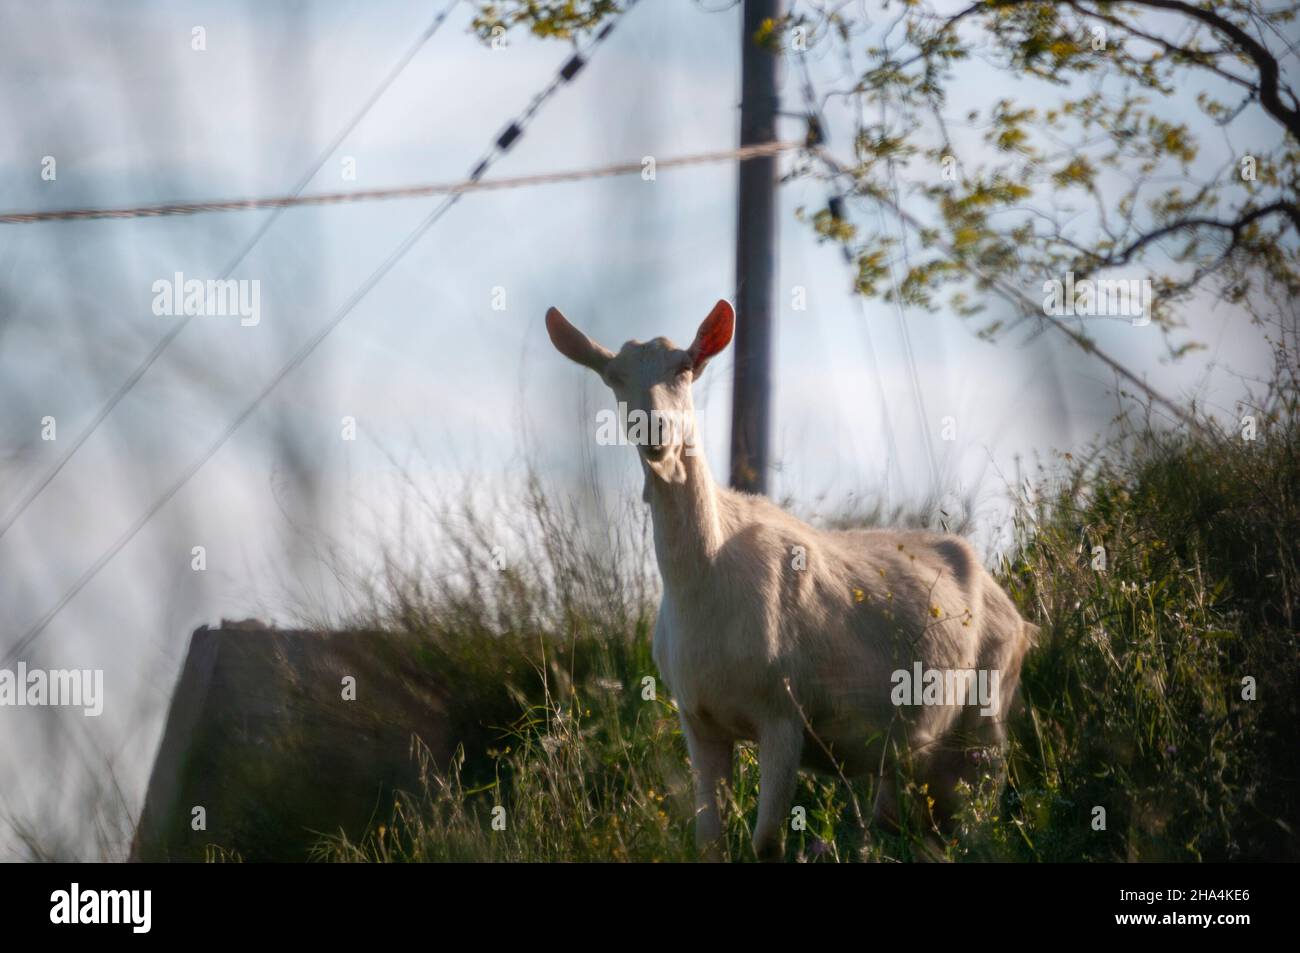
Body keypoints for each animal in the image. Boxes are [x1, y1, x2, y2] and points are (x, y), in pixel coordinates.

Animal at [546, 301, 1034, 858]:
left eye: (684, 368)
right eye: (613, 377)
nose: (656, 431)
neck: (705, 584)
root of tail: (1016, 614)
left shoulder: (783, 712)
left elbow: (766, 844)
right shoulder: (698, 719)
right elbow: (708, 843)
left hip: (988, 708)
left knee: (980, 819)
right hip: (910, 747)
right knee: (905, 826)